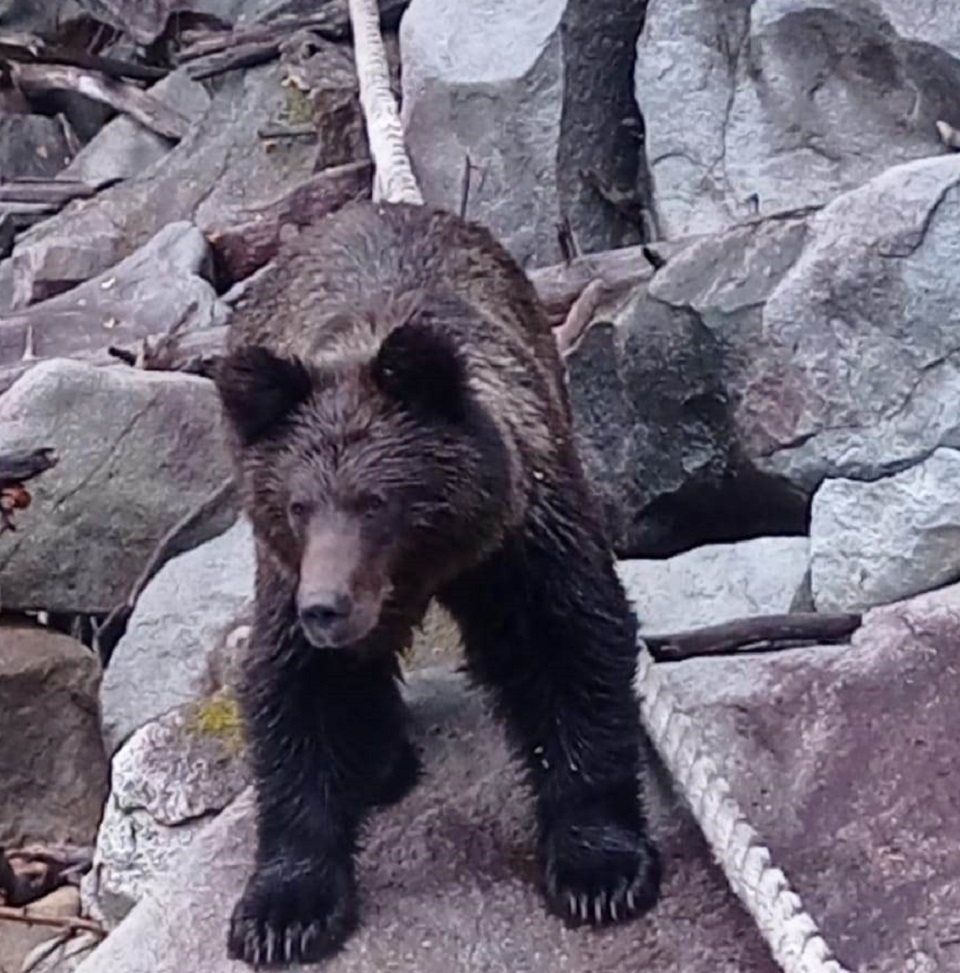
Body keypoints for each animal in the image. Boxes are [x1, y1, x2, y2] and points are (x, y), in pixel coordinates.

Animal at [211, 197, 660, 964]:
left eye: (375, 501)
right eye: (298, 505)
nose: (325, 607)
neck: (426, 564)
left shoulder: (522, 538)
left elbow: (570, 643)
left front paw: (599, 867)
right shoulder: (285, 571)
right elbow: (293, 693)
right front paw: (283, 912)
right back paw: (379, 762)